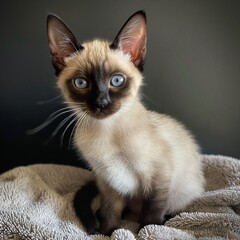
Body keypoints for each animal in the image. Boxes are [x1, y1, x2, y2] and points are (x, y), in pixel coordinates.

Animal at [46, 10, 204, 234]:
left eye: (117, 81)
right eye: (81, 83)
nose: (101, 103)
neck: (105, 131)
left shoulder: (159, 175)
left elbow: (152, 212)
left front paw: (148, 231)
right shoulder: (107, 182)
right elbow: (110, 211)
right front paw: (107, 232)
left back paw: (167, 219)